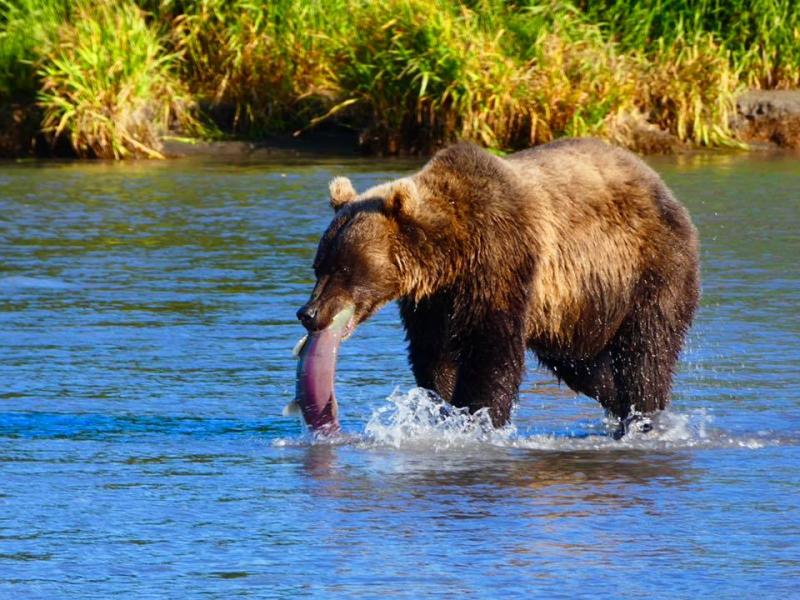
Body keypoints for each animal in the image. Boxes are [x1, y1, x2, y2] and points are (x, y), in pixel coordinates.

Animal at [296, 138, 700, 432]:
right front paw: (441, 410)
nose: (308, 312)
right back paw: (617, 404)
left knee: (645, 351)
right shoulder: (433, 303)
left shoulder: (502, 262)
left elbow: (492, 353)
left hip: (647, 269)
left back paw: (643, 415)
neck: (450, 255)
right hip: (578, 309)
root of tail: (659, 183)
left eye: (345, 268)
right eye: (319, 266)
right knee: (585, 365)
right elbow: (434, 357)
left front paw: (479, 418)